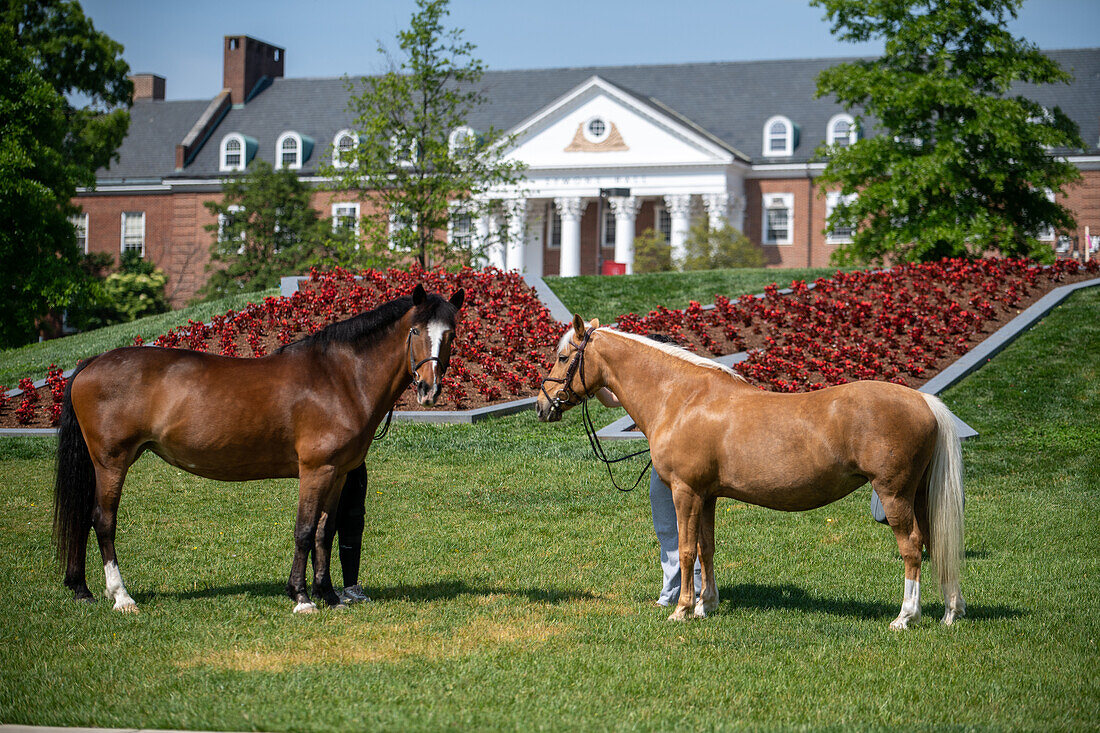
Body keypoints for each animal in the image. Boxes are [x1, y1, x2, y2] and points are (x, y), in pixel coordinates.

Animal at [54, 283, 464, 611]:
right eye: (415, 330)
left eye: (451, 333)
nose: (429, 390)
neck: (341, 378)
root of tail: (90, 363)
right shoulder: (315, 471)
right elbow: (304, 530)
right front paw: (301, 597)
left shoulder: (337, 473)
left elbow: (324, 533)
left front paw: (329, 596)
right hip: (112, 462)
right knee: (103, 521)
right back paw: (121, 597)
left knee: (82, 518)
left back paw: (82, 590)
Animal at [539, 314, 963, 629]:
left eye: (562, 357)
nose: (543, 405)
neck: (682, 398)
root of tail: (922, 400)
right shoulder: (707, 495)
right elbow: (707, 549)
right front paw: (706, 605)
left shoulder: (685, 491)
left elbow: (687, 550)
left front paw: (682, 610)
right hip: (918, 493)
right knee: (935, 541)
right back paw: (949, 612)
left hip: (894, 494)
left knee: (912, 546)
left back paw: (905, 617)